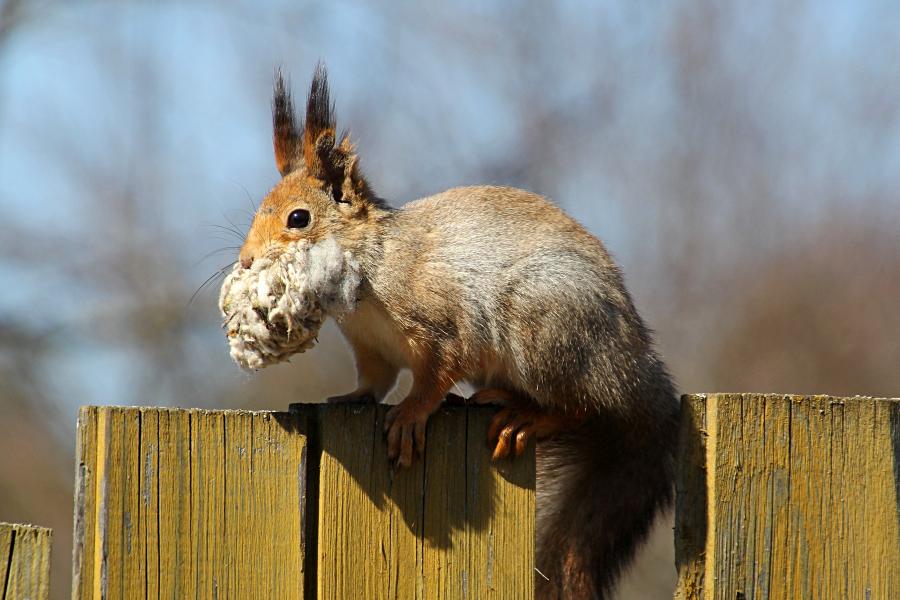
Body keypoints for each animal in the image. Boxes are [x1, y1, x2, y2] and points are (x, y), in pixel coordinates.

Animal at [236, 63, 680, 596]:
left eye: (298, 218)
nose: (246, 261)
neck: (371, 265)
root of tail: (635, 371)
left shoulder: (443, 323)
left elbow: (438, 370)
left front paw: (411, 415)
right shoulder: (370, 347)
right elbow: (375, 382)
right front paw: (349, 398)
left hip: (548, 329)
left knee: (585, 408)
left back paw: (526, 415)